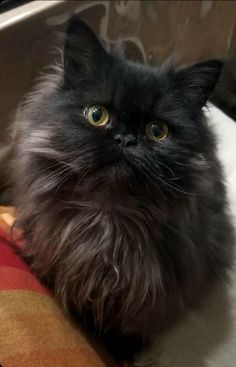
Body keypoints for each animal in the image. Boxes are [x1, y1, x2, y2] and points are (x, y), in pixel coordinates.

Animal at [12, 16, 234, 362]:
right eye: (96, 115)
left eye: (157, 131)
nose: (126, 139)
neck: (106, 219)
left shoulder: (150, 294)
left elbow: (130, 324)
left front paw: (121, 350)